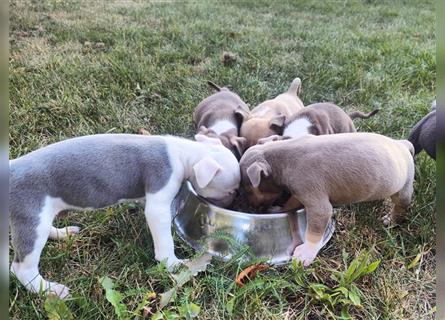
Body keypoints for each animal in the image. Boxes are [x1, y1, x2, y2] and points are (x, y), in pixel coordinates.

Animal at [9, 132, 239, 298]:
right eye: (231, 191)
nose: (236, 200)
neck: (184, 153)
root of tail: (12, 168)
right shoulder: (159, 195)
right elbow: (164, 237)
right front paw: (172, 263)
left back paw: (62, 233)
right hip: (31, 216)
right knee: (21, 267)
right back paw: (49, 289)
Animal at [238, 132, 414, 264]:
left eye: (247, 189)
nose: (249, 207)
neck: (281, 154)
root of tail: (402, 145)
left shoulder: (316, 201)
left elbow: (314, 231)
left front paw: (307, 252)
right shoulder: (299, 194)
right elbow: (291, 203)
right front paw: (279, 209)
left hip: (404, 189)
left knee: (401, 206)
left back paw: (392, 219)